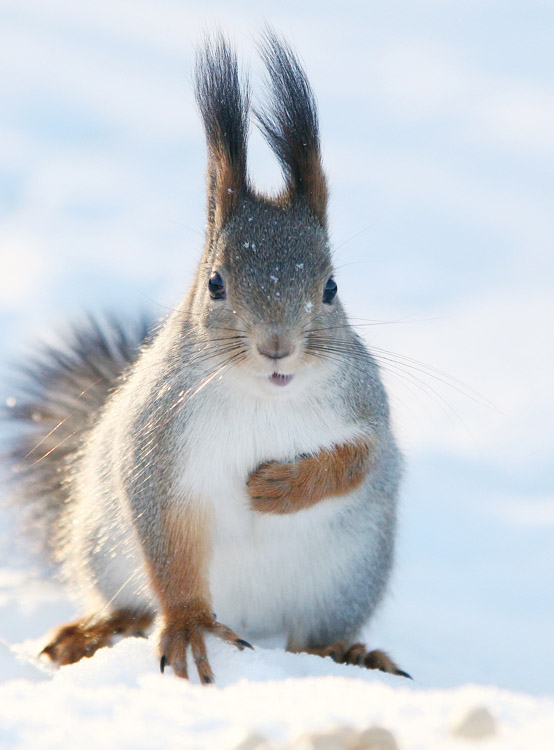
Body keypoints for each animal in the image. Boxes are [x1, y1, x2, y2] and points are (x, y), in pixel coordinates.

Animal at [4, 30, 408, 688]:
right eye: (216, 283)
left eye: (330, 287)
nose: (277, 346)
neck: (264, 394)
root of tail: (256, 626)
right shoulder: (157, 441)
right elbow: (168, 542)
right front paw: (190, 623)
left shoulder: (364, 403)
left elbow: (359, 460)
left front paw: (281, 488)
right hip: (103, 550)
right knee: (133, 604)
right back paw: (94, 630)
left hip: (346, 581)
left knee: (312, 639)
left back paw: (348, 653)